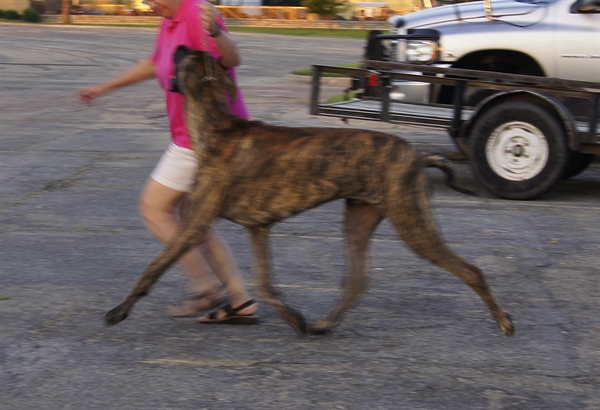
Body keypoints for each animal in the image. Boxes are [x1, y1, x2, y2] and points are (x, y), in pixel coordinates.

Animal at [104, 45, 516, 336]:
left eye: (187, 54)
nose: (174, 46)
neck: (216, 124)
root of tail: (418, 154)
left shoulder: (194, 225)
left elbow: (152, 269)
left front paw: (118, 312)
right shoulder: (258, 228)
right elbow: (266, 284)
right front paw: (294, 319)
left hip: (412, 223)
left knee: (471, 271)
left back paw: (504, 322)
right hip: (359, 218)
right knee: (356, 281)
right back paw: (324, 324)